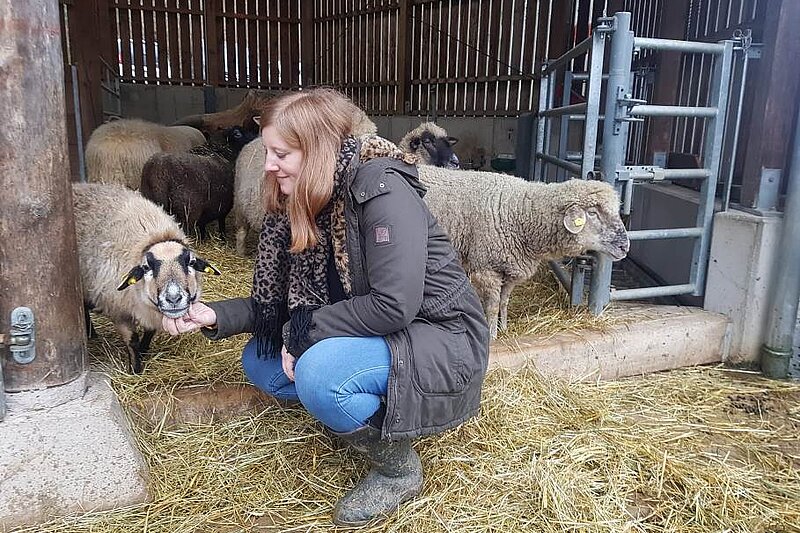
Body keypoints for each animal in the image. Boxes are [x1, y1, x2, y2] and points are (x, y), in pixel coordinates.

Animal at [72, 181, 220, 372]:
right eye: (146, 267)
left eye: (191, 262)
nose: (173, 298)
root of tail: (77, 186)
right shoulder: (119, 310)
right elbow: (131, 340)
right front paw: (135, 369)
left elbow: (150, 332)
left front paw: (143, 350)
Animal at [418, 168, 632, 338]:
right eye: (593, 213)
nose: (625, 247)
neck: (521, 213)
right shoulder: (487, 269)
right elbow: (492, 306)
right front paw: (492, 335)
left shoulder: (511, 269)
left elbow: (504, 302)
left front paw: (503, 328)